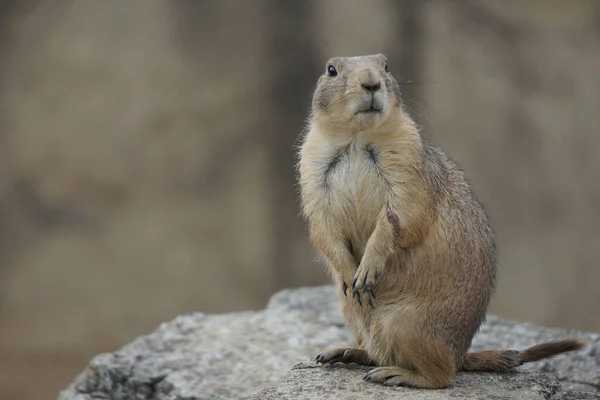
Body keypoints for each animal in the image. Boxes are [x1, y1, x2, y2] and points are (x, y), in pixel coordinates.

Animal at [296, 53, 584, 388]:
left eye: (386, 66)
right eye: (331, 70)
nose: (371, 82)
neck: (357, 137)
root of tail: (461, 353)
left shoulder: (409, 168)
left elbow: (400, 216)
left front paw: (367, 268)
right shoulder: (312, 169)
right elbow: (321, 227)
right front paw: (347, 273)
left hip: (405, 323)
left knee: (441, 375)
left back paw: (394, 373)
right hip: (353, 315)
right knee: (378, 350)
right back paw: (343, 352)